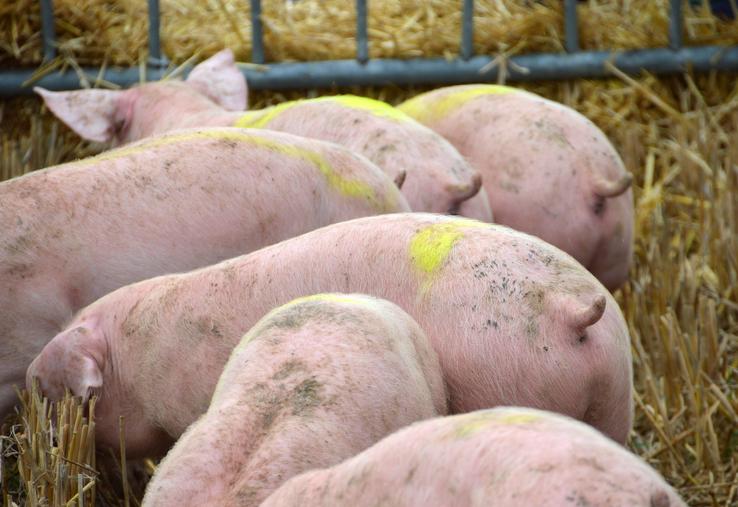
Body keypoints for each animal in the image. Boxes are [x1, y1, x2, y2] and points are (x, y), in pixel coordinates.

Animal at [27, 213, 633, 459]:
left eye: (47, 390)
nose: (29, 375)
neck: (137, 354)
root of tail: (572, 308)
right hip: (614, 399)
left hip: (505, 384)